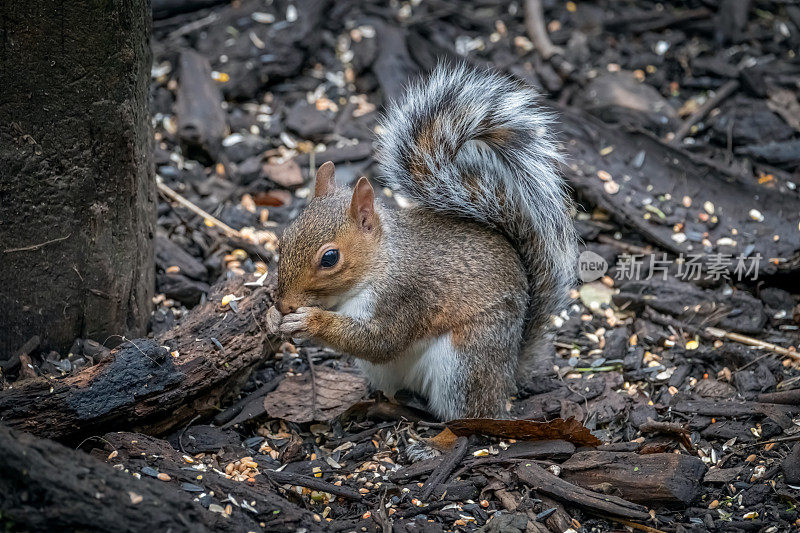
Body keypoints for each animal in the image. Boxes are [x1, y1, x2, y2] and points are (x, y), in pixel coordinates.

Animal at [268, 63, 576, 420]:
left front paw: (311, 321)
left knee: (470, 413)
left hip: (465, 360)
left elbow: (380, 341)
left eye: (330, 258)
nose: (284, 304)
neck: (382, 263)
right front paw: (273, 318)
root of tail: (510, 370)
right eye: (283, 240)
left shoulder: (408, 297)